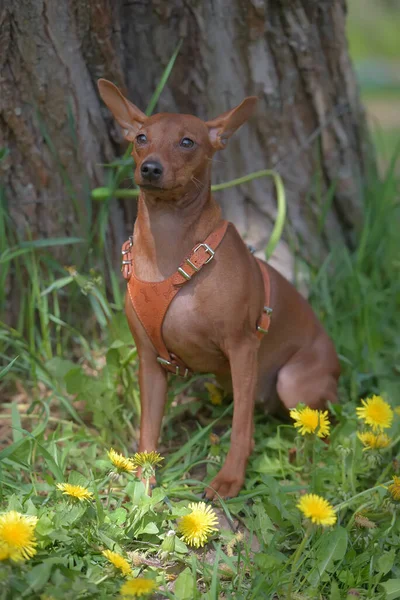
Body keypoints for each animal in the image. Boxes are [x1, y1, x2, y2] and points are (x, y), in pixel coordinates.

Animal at [98, 81, 340, 502]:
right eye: (142, 138)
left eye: (188, 142)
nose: (150, 168)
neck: (171, 247)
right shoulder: (150, 363)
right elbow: (148, 435)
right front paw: (143, 486)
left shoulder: (242, 350)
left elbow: (242, 427)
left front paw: (229, 479)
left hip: (292, 381)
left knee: (320, 428)